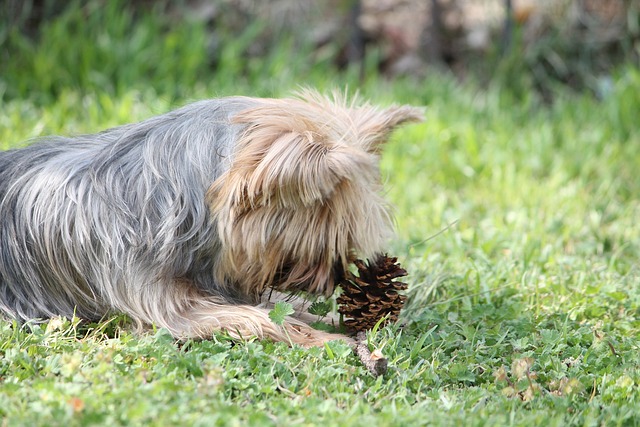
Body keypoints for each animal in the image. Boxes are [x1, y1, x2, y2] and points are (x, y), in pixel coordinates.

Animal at [0, 91, 422, 348]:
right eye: (328, 237)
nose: (335, 278)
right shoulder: (167, 304)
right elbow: (261, 319)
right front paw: (333, 340)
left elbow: (279, 306)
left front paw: (349, 320)